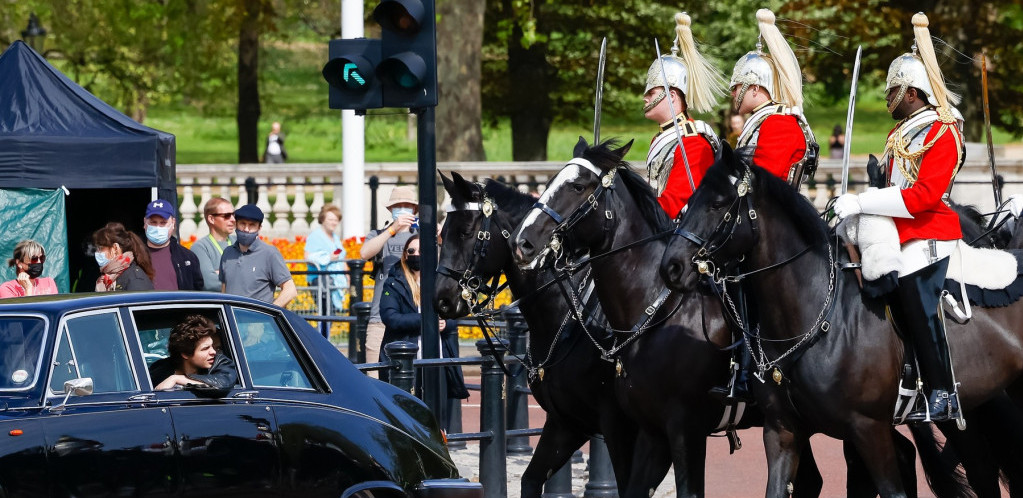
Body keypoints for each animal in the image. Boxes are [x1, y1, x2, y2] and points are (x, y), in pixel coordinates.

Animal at [435, 172, 642, 498]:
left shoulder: (620, 427)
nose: (440, 299)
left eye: (467, 232)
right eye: (443, 233)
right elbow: (531, 479)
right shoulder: (565, 422)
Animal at [511, 138, 928, 498]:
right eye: (552, 182)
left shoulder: (678, 427)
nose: (523, 242)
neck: (654, 312)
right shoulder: (627, 427)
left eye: (578, 186)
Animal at [658, 142, 1023, 496]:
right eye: (690, 201)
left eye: (718, 204)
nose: (671, 267)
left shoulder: (869, 429)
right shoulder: (782, 431)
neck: (814, 316)